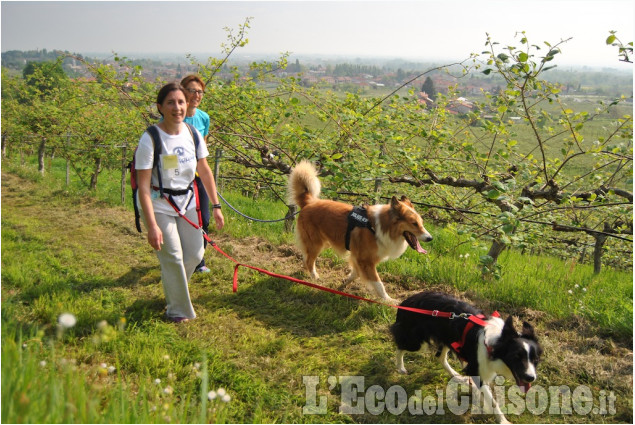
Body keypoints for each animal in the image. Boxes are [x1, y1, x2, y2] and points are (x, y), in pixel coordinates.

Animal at [286, 159, 432, 302]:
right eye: (414, 223)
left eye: (421, 223)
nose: (430, 238)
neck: (377, 227)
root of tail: (309, 202)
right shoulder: (366, 261)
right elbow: (378, 284)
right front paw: (388, 300)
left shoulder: (360, 259)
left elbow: (354, 274)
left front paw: (343, 285)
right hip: (316, 243)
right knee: (309, 260)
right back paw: (315, 278)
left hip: (322, 242)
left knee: (306, 257)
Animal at [390, 290, 544, 422]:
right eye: (516, 357)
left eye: (535, 360)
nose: (531, 378)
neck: (495, 343)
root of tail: (407, 300)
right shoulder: (476, 369)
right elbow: (492, 400)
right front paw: (503, 421)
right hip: (417, 342)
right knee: (400, 347)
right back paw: (400, 367)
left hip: (447, 339)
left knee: (440, 357)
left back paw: (456, 375)